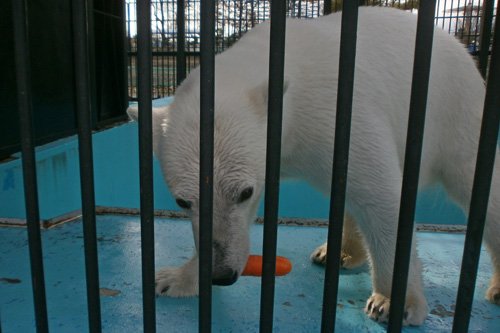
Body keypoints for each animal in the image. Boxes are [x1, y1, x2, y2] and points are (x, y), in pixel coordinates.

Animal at [126, 7, 500, 324]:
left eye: (243, 191)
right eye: (182, 201)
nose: (222, 274)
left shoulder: (338, 117)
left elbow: (380, 196)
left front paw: (395, 303)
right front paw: (176, 278)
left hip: (457, 112)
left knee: (477, 188)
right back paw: (341, 253)